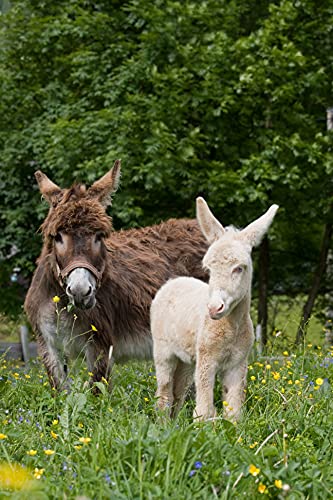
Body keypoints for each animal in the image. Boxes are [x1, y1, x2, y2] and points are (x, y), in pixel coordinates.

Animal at [150, 197, 278, 420]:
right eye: (208, 269)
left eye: (239, 268)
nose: (214, 308)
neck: (231, 328)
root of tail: (173, 282)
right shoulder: (207, 359)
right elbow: (204, 411)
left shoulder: (238, 363)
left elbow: (234, 410)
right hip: (163, 351)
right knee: (164, 392)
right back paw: (162, 424)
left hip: (187, 357)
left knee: (178, 391)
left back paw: (174, 423)